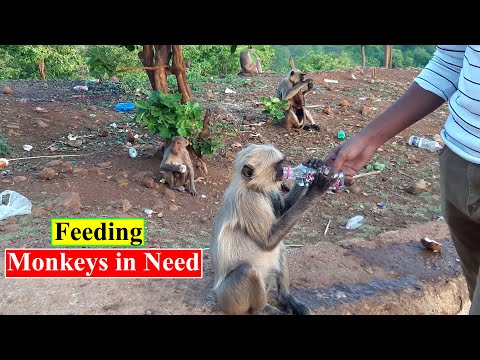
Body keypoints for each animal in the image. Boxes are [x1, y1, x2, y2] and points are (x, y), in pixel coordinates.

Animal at [208, 143, 336, 316]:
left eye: (282, 164)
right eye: (277, 166)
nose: (283, 171)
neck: (252, 188)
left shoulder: (270, 195)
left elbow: (282, 215)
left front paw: (312, 165)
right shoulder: (249, 201)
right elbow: (269, 241)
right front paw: (315, 190)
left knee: (280, 248)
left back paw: (286, 297)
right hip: (229, 298)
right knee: (247, 270)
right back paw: (262, 309)